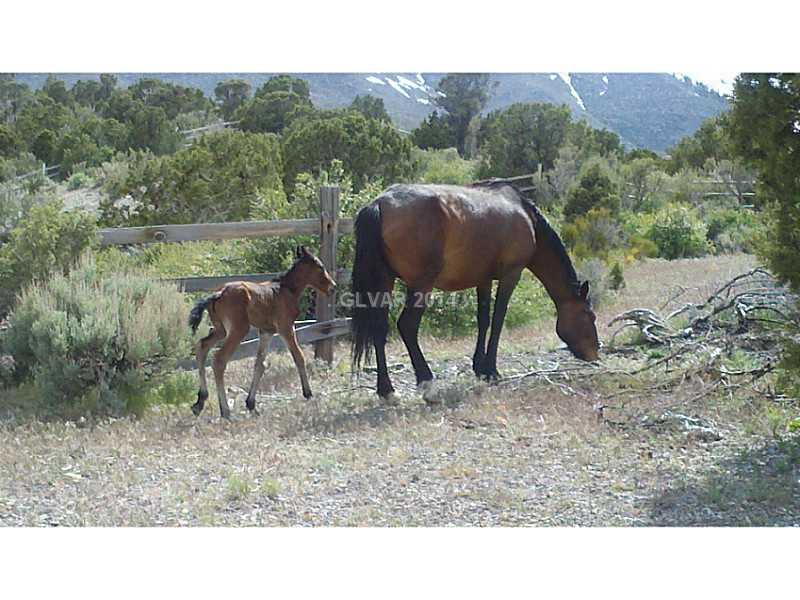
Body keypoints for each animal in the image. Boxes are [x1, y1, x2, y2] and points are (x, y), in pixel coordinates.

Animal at [188, 246, 336, 419]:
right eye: (320, 267)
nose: (333, 287)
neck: (285, 289)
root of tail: (219, 293)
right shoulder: (286, 327)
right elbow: (298, 356)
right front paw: (308, 393)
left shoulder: (266, 331)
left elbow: (260, 364)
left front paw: (251, 404)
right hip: (238, 330)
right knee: (219, 359)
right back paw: (225, 411)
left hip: (221, 330)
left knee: (202, 347)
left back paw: (200, 402)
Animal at [350, 181, 599, 404]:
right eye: (590, 316)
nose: (595, 353)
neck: (525, 215)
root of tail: (379, 204)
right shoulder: (511, 275)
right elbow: (498, 320)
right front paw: (492, 370)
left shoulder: (483, 280)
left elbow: (484, 320)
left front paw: (480, 367)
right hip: (421, 285)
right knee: (408, 326)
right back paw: (428, 384)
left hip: (385, 281)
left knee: (379, 329)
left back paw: (387, 391)